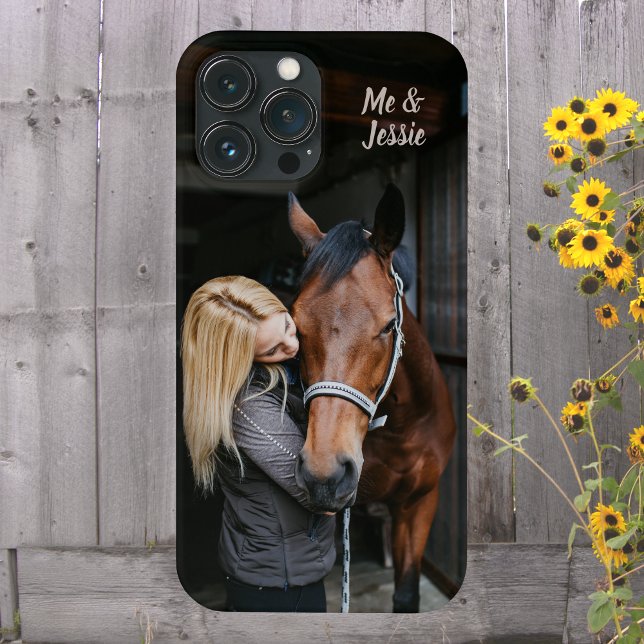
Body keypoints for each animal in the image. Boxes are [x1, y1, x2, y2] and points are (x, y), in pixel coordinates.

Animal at [288, 184, 457, 613]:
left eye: (389, 325)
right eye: (295, 326)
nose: (325, 473)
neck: (401, 429)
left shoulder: (418, 503)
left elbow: (407, 592)